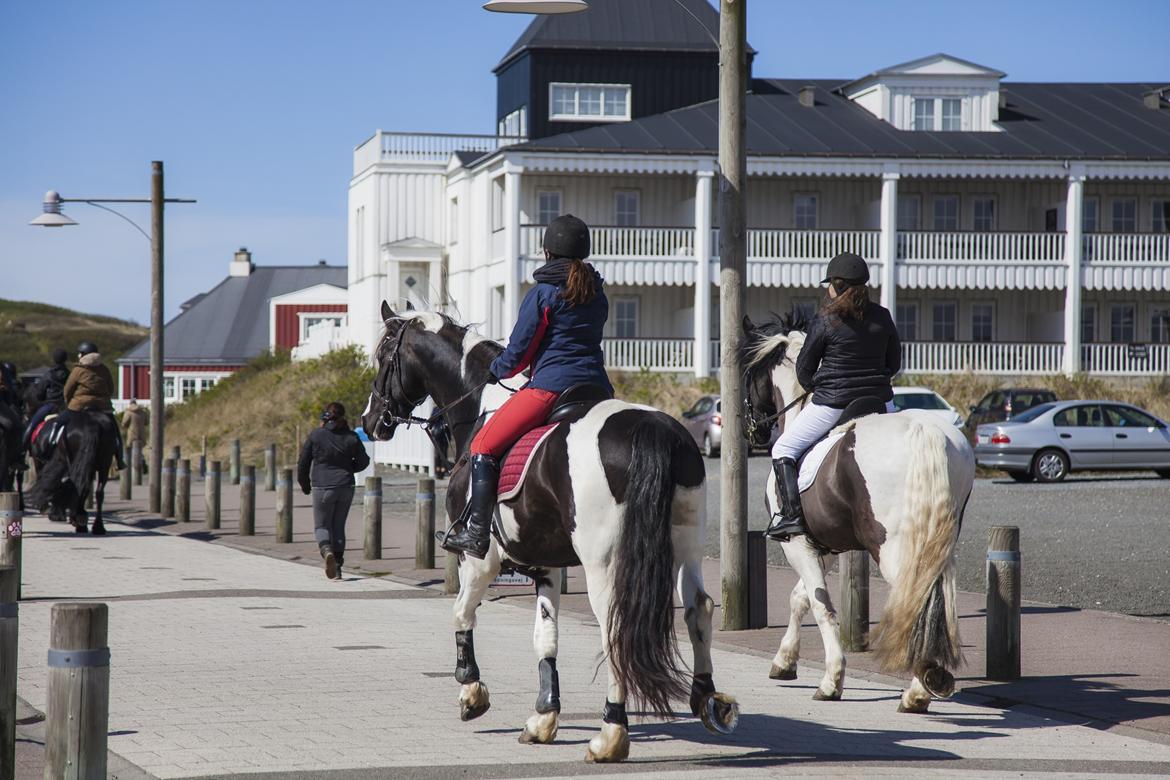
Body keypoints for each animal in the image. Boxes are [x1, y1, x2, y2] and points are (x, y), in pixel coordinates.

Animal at [27, 409, 117, 537]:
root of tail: (92, 422)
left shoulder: (40, 462)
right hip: (104, 462)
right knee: (98, 492)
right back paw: (97, 526)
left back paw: (79, 521)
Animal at [360, 304, 734, 762]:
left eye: (382, 357)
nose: (371, 421)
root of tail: (653, 430)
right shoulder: (546, 564)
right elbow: (546, 637)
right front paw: (543, 717)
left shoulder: (478, 559)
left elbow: (461, 613)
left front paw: (471, 690)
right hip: (687, 547)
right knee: (698, 608)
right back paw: (707, 701)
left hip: (603, 563)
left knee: (614, 628)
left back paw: (611, 733)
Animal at [744, 313, 973, 715]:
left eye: (749, 375)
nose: (752, 431)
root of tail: (923, 430)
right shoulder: (823, 545)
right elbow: (801, 597)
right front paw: (784, 661)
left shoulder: (796, 542)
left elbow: (820, 603)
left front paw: (831, 680)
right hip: (939, 544)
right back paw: (929, 682)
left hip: (895, 548)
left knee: (912, 598)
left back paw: (917, 691)